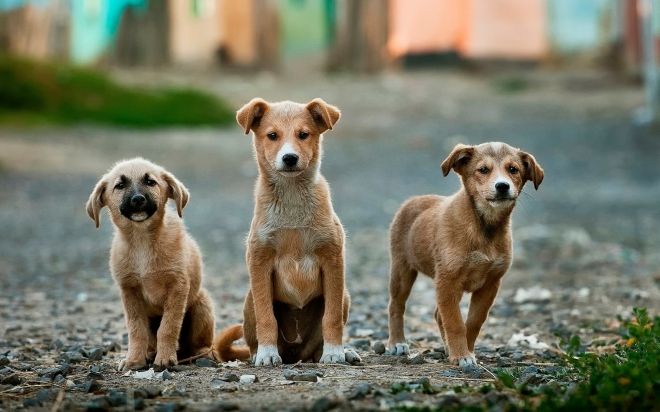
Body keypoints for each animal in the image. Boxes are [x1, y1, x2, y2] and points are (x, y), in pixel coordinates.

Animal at [86, 158, 222, 370]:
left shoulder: (178, 286)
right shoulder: (129, 291)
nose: (138, 199)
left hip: (202, 304)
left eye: (150, 182)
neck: (142, 241)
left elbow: (168, 327)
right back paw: (150, 354)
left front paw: (165, 358)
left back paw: (204, 354)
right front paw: (134, 360)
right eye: (120, 185)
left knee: (202, 343)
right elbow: (136, 330)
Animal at [215, 98, 360, 366]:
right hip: (249, 300)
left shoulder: (333, 260)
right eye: (272, 135)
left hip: (344, 295)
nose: (290, 158)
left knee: (317, 345)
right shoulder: (259, 261)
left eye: (304, 134)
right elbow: (266, 317)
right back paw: (259, 353)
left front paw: (335, 352)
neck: (292, 198)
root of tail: (295, 354)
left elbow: (332, 317)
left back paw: (341, 352)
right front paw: (267, 353)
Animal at [384, 143, 544, 368]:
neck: (484, 227)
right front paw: (461, 355)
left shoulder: (490, 284)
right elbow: (455, 322)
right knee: (396, 306)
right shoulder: (447, 281)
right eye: (483, 170)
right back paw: (397, 343)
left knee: (437, 314)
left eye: (513, 169)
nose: (502, 186)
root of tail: (413, 199)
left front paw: (465, 351)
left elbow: (473, 322)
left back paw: (446, 347)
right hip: (402, 269)